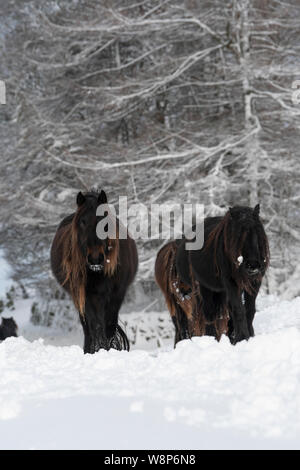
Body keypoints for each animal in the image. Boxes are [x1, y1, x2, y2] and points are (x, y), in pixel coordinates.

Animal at [50, 189, 137, 354]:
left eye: (104, 223)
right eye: (82, 222)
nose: (95, 258)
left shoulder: (117, 294)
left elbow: (108, 326)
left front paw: (109, 349)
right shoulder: (86, 295)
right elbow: (94, 325)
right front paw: (97, 350)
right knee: (88, 328)